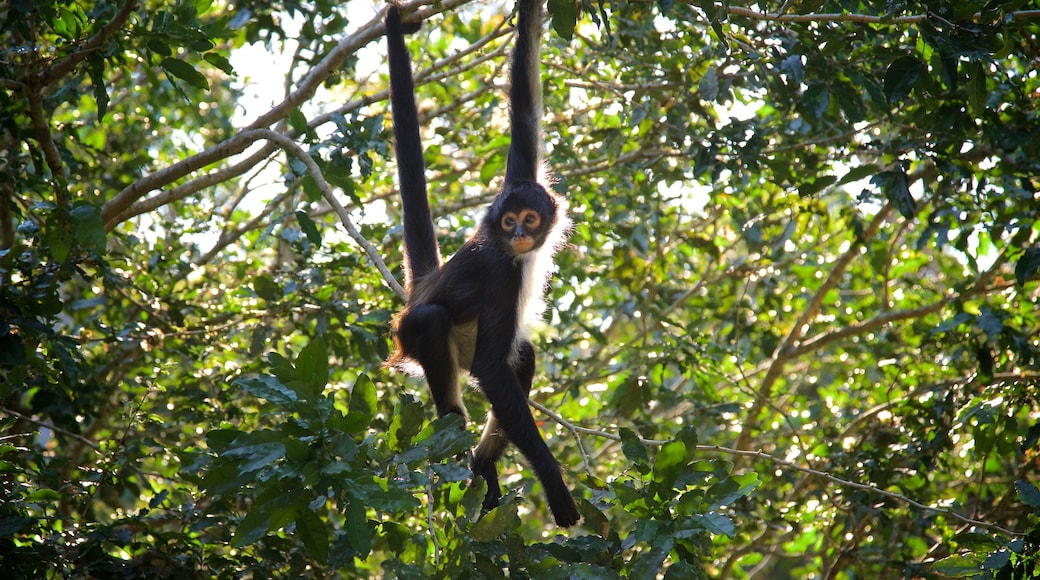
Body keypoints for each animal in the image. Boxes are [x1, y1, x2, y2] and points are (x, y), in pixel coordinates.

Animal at [384, 1, 582, 528]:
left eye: (528, 219)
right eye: (509, 222)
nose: (517, 234)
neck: (515, 252)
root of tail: (422, 286)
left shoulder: (521, 176)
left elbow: (524, 100)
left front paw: (529, 14)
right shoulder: (500, 275)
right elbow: (492, 370)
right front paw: (554, 484)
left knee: (524, 353)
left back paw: (480, 463)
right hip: (418, 334)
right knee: (434, 323)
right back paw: (459, 457)